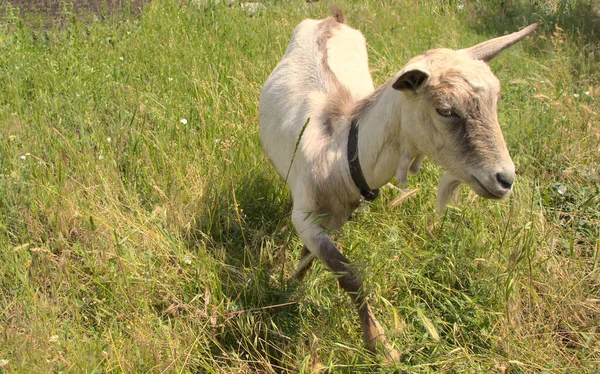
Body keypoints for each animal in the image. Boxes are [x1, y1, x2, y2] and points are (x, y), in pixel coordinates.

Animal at [258, 7, 540, 360]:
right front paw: (381, 344)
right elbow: (349, 273)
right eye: (445, 110)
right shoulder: (307, 216)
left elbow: (315, 259)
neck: (341, 151)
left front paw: (294, 282)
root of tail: (332, 19)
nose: (504, 178)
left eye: (496, 100)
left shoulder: (337, 216)